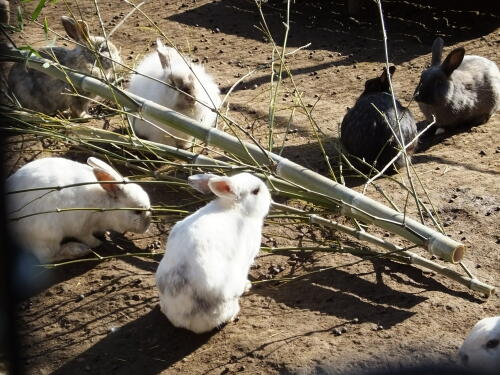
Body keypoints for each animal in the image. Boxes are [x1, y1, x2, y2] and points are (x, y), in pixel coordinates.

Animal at [6, 157, 150, 262]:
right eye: (137, 211)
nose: (146, 226)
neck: (105, 206)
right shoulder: (82, 228)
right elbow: (87, 237)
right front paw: (98, 243)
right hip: (47, 236)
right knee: (47, 257)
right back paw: (78, 250)